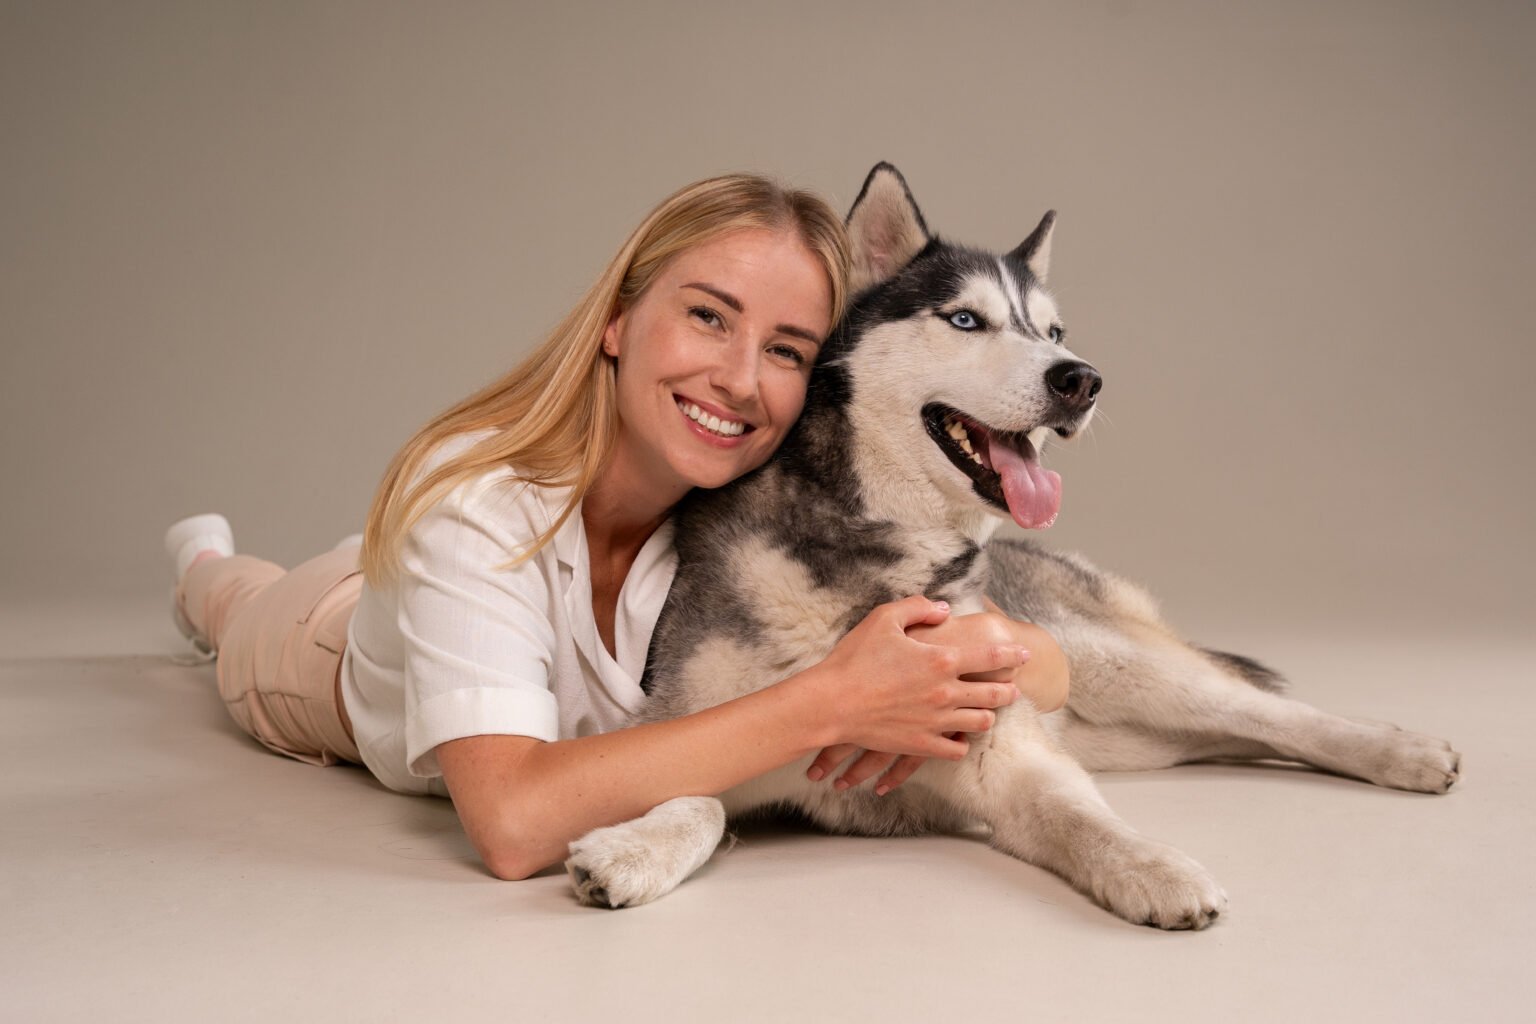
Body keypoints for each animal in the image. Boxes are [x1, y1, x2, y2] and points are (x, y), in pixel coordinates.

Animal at [559, 161, 1456, 927]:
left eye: (1054, 330)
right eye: (966, 319)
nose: (1081, 379)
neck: (880, 558)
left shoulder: (1008, 752)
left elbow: (1081, 817)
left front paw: (1154, 867)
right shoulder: (694, 727)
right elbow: (699, 797)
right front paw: (634, 847)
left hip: (1111, 662)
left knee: (1270, 711)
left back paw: (1401, 750)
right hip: (1126, 728)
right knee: (1234, 733)